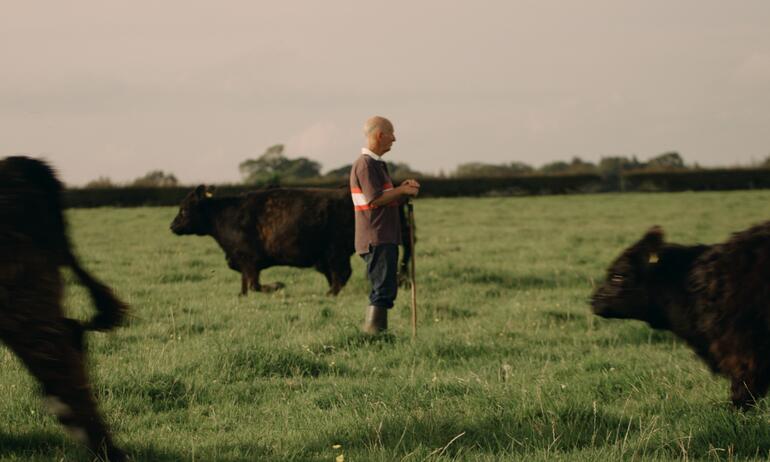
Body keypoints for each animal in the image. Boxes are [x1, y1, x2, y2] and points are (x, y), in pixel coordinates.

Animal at [170, 184, 414, 296]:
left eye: (184, 210)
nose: (172, 226)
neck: (225, 214)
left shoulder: (249, 260)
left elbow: (255, 285)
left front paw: (278, 285)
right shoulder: (243, 261)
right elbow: (245, 286)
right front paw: (242, 295)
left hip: (335, 251)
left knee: (341, 274)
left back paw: (330, 294)